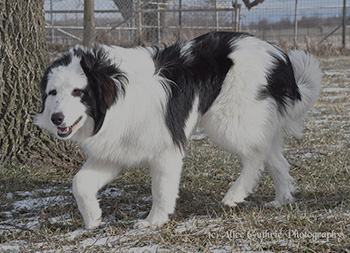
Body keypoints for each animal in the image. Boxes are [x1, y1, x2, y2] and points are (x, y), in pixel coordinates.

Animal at [35, 31, 322, 229]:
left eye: (78, 92)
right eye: (52, 92)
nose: (57, 118)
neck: (118, 93)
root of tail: (278, 56)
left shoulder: (166, 149)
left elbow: (161, 190)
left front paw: (153, 222)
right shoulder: (114, 151)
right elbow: (80, 182)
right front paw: (92, 218)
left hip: (228, 120)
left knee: (255, 155)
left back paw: (235, 194)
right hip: (252, 121)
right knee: (275, 159)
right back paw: (281, 199)